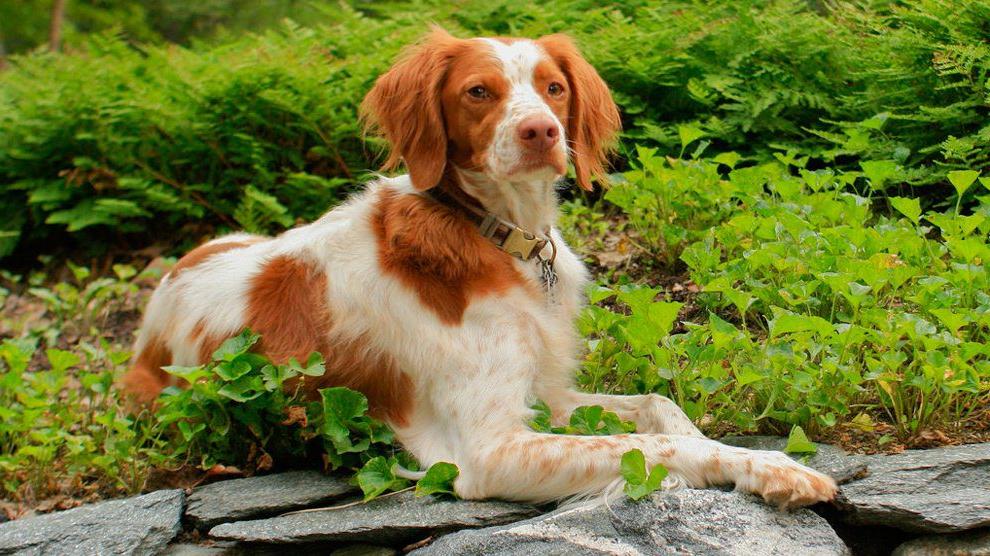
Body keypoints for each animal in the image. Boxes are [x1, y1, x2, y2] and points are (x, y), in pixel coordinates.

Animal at [122, 29, 836, 508]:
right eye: (477, 92)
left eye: (554, 87)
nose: (543, 131)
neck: (498, 238)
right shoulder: (491, 450)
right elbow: (658, 446)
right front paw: (769, 466)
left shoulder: (549, 398)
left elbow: (659, 407)